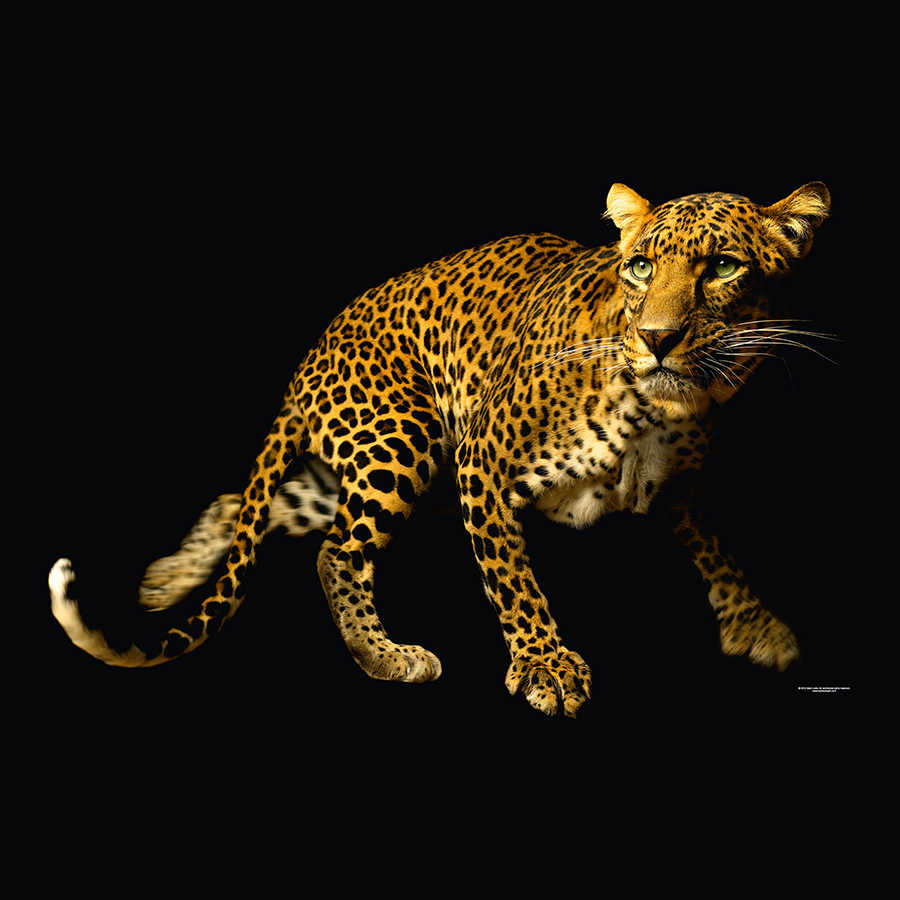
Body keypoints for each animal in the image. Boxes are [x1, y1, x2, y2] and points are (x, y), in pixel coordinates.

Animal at [49, 181, 830, 717]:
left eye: (723, 267)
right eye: (640, 267)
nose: (657, 338)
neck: (659, 409)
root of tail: (311, 355)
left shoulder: (679, 488)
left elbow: (714, 547)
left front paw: (754, 621)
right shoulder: (481, 458)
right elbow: (512, 578)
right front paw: (546, 666)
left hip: (353, 464)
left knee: (244, 504)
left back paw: (167, 579)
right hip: (404, 440)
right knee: (335, 553)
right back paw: (386, 657)